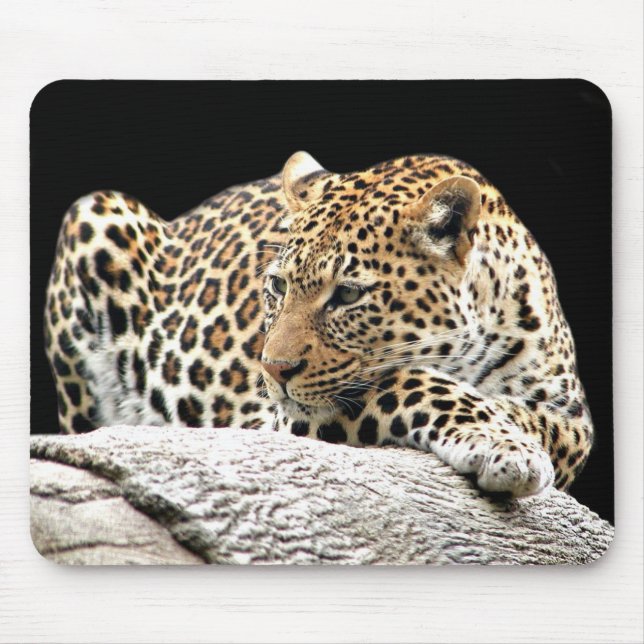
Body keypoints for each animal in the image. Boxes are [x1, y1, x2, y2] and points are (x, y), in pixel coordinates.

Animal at [44, 151, 594, 497]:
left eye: (348, 295)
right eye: (278, 285)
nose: (272, 370)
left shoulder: (574, 420)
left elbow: (533, 417)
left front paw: (508, 434)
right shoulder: (292, 416)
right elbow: (413, 382)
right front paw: (503, 445)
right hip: (94, 214)